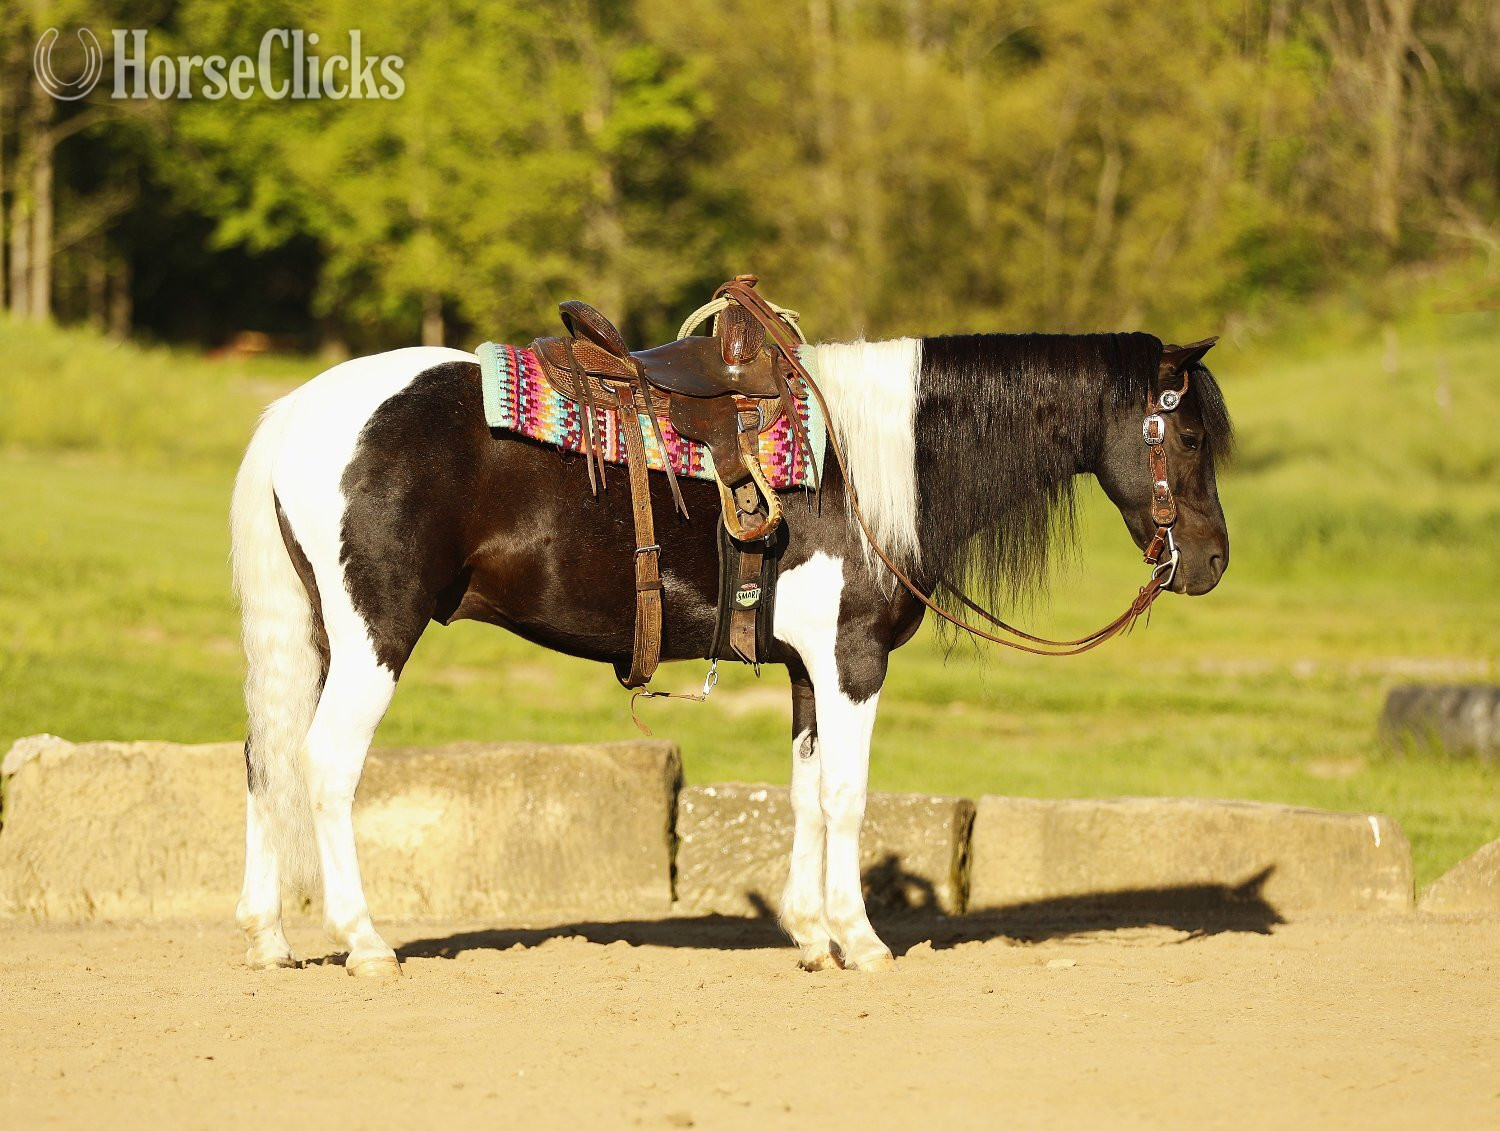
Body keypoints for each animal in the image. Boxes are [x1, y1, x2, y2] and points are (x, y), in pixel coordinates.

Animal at [229, 328, 1232, 976]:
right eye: (1186, 434)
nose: (1214, 562)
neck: (866, 466)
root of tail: (296, 411)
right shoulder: (852, 659)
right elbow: (847, 796)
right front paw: (861, 940)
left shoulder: (805, 672)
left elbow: (804, 791)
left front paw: (811, 936)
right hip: (375, 634)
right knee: (325, 763)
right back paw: (365, 942)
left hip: (311, 634)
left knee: (266, 757)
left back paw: (270, 936)